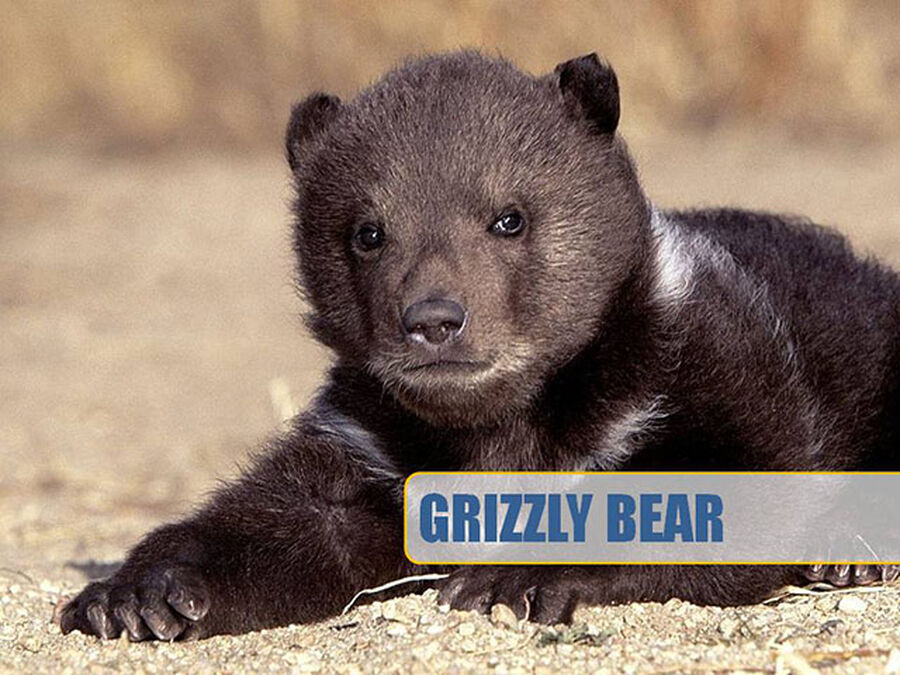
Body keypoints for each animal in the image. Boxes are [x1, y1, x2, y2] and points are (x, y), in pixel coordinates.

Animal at [59, 51, 900, 640]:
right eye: (367, 231)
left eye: (509, 217)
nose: (433, 319)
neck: (503, 420)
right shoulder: (376, 442)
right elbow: (295, 519)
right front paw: (137, 592)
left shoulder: (705, 370)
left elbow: (714, 493)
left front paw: (508, 578)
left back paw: (853, 550)